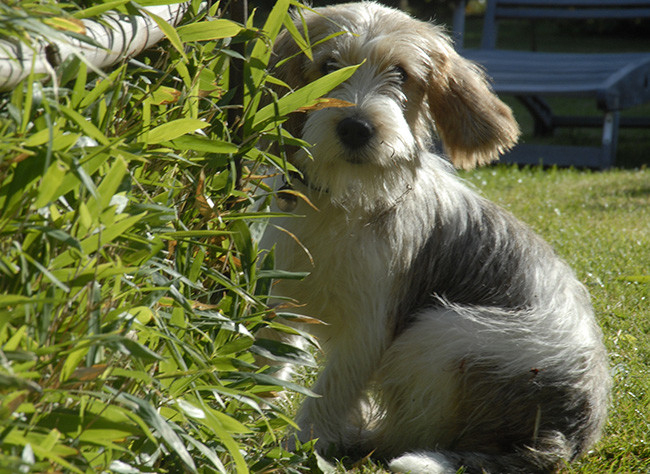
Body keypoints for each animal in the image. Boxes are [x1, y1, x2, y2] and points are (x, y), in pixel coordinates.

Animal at [260, 2, 612, 470]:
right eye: (329, 66)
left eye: (401, 74)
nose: (356, 128)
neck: (345, 197)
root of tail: (567, 436)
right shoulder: (280, 293)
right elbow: (262, 359)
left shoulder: (368, 329)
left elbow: (329, 394)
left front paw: (297, 446)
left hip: (438, 330)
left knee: (409, 434)